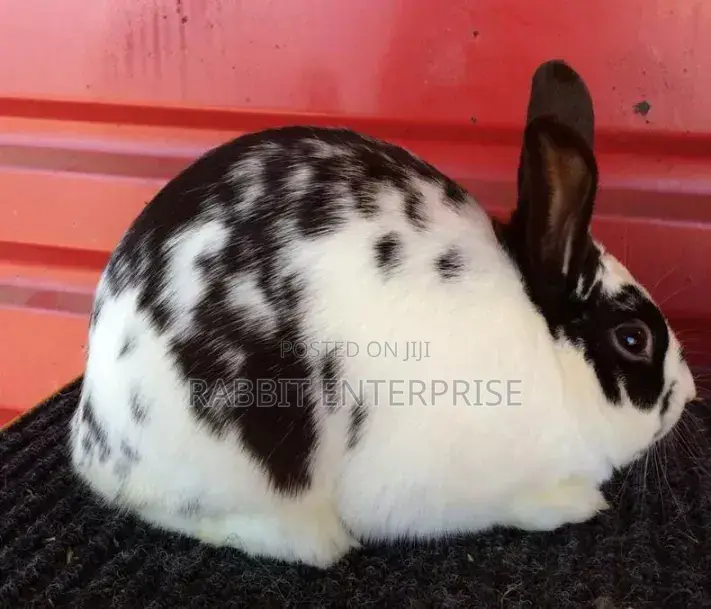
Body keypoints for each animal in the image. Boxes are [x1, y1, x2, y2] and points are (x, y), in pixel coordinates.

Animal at [68, 59, 697, 568]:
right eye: (634, 339)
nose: (688, 394)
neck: (551, 355)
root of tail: (94, 436)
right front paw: (579, 503)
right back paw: (316, 543)